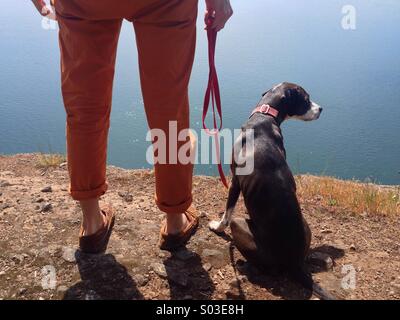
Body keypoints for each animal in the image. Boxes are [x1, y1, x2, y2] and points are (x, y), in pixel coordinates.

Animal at [208, 82, 332, 300]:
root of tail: (293, 263)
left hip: (240, 225)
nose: (320, 109)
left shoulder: (235, 181)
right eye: (306, 99)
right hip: (305, 225)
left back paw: (245, 265)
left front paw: (217, 226)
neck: (264, 118)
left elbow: (227, 211)